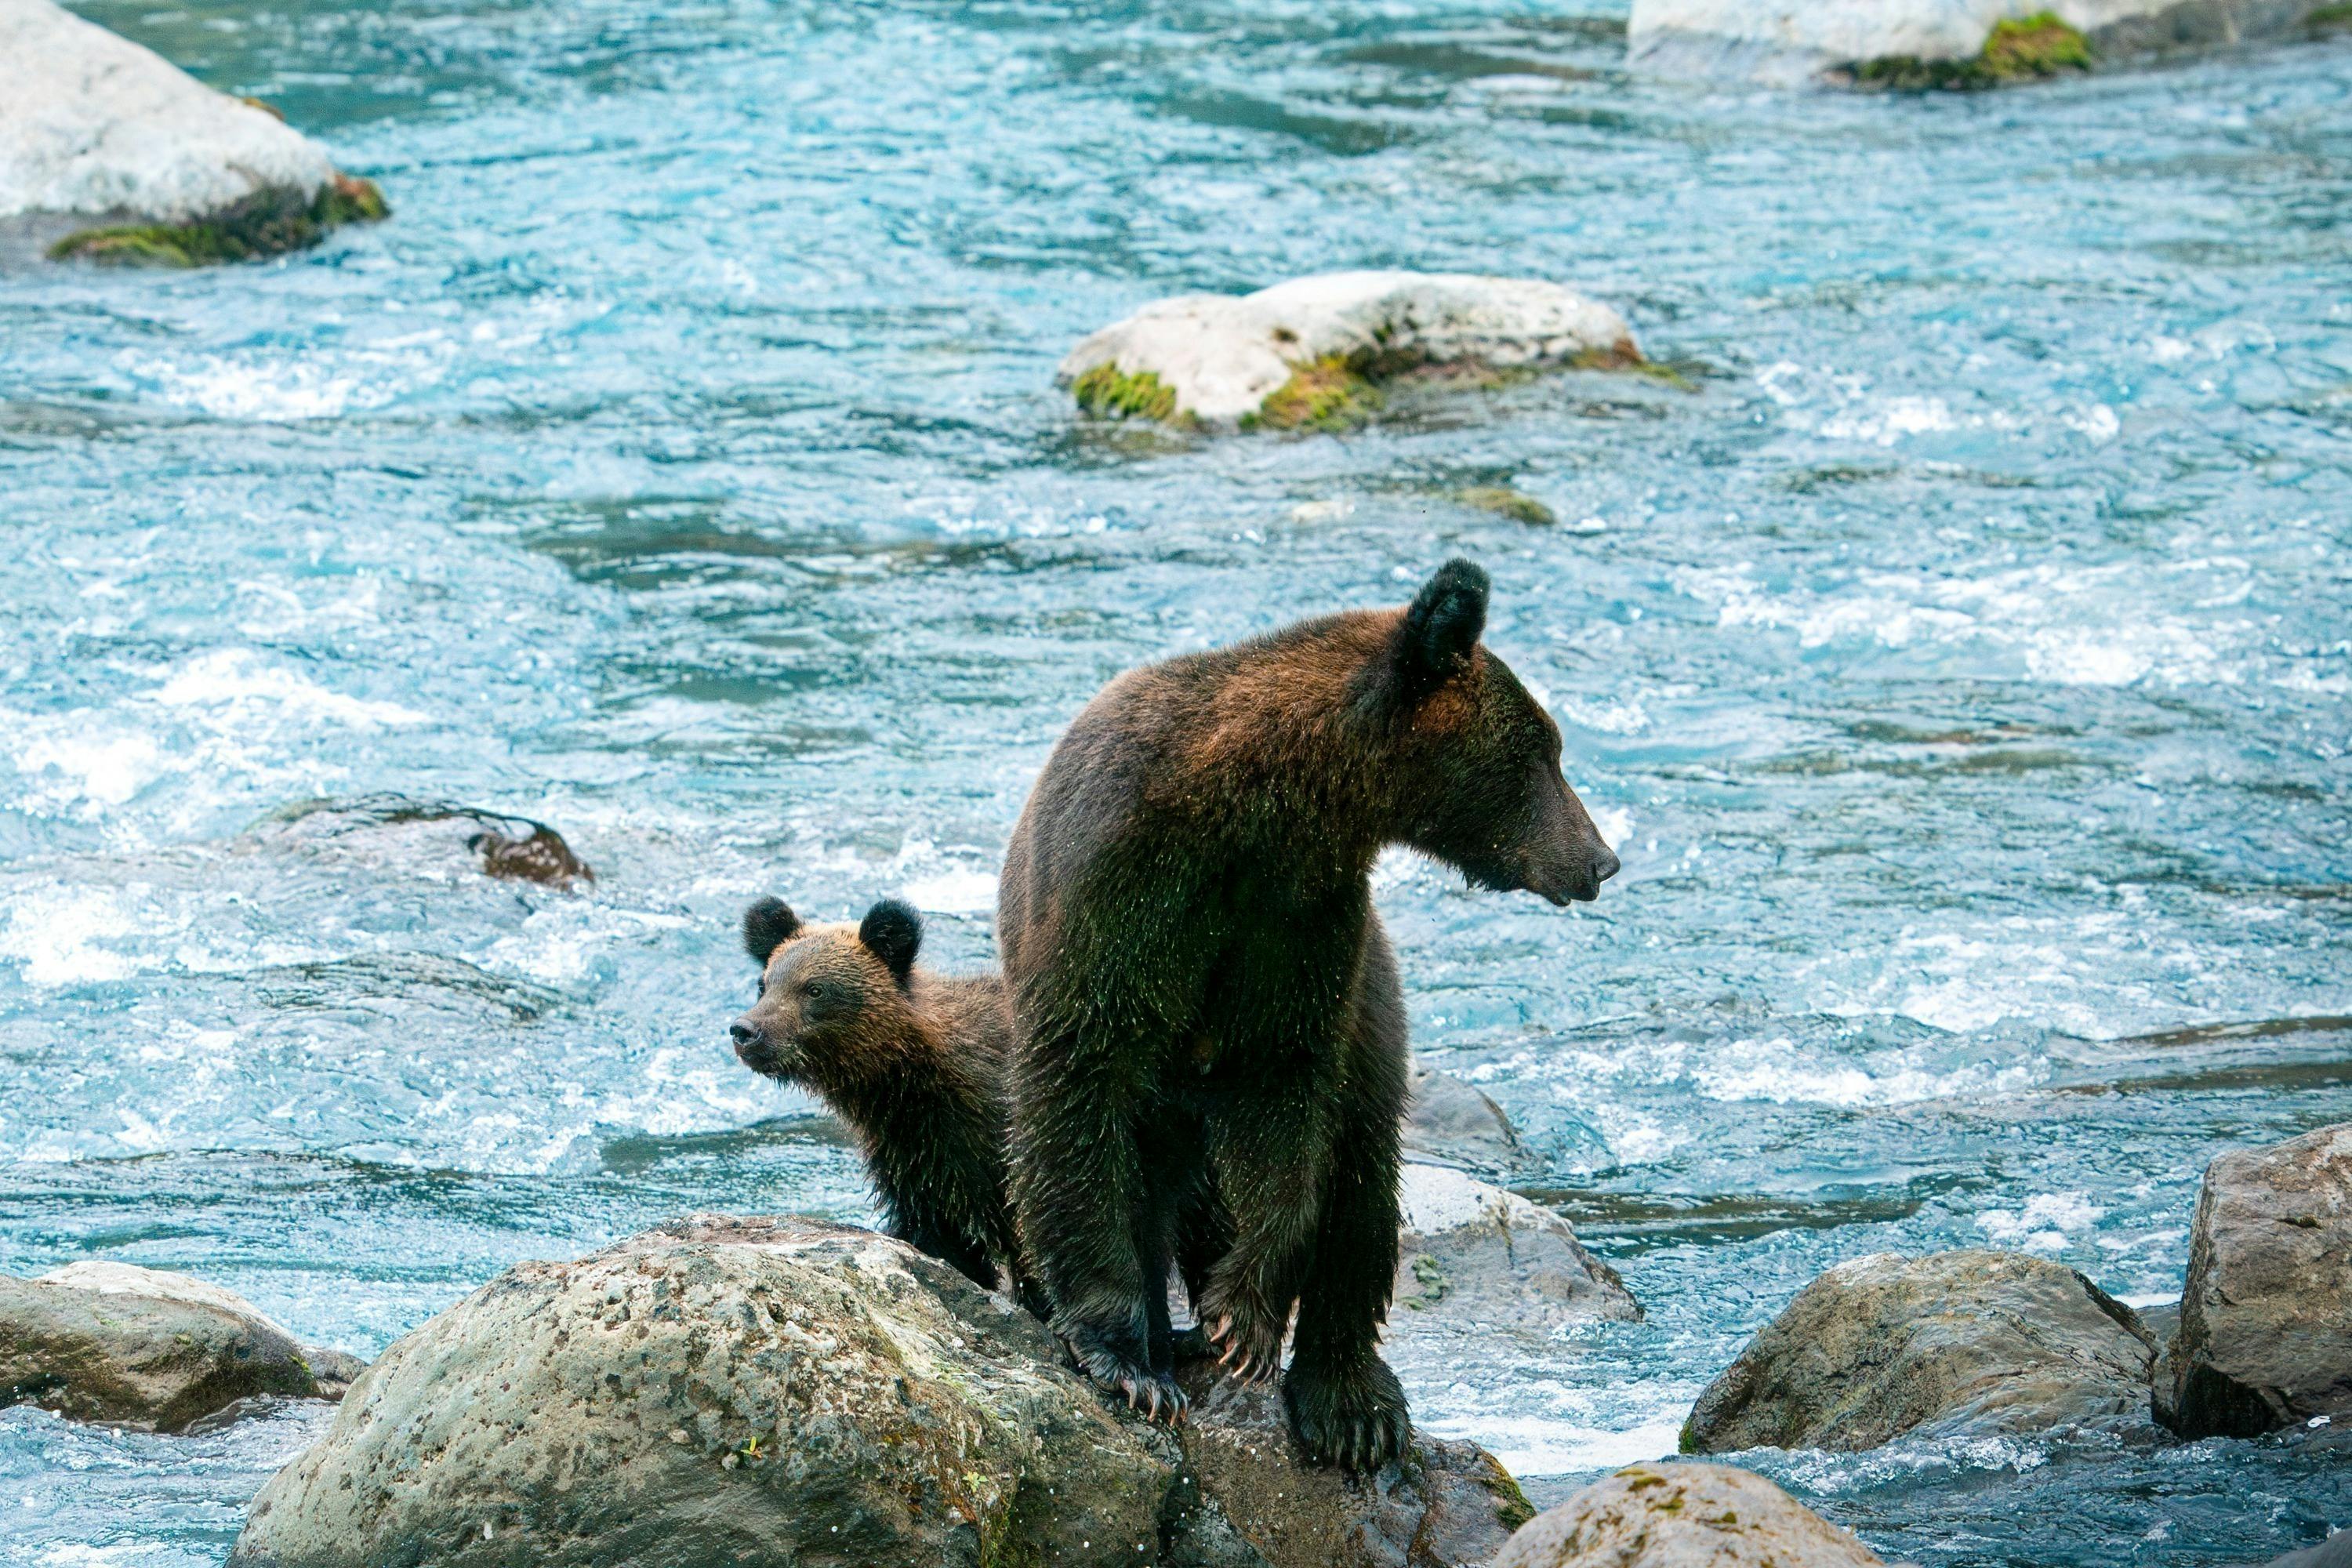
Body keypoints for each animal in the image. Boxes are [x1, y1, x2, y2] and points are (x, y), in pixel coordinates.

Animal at [993, 561, 1618, 1476]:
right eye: (1541, 751)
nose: (1601, 859)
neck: (1266, 803)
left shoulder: (1302, 924)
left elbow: (1286, 1099)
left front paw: (1240, 1316)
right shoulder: (1121, 893)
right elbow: (1080, 1095)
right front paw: (1127, 1359)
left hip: (1376, 1009)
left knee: (1361, 1177)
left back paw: (1350, 1399)